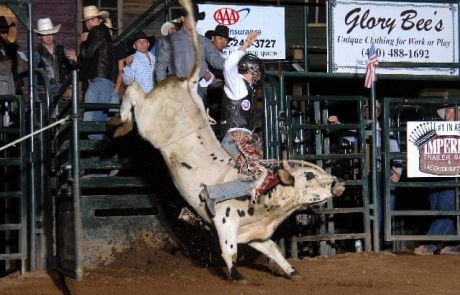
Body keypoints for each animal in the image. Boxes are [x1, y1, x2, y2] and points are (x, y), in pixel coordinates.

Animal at [108, 0, 344, 284]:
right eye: (309, 176)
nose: (338, 182)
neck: (269, 196)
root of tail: (187, 84)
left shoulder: (255, 234)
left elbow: (275, 251)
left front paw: (292, 272)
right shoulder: (226, 222)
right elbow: (229, 252)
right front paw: (237, 276)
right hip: (148, 119)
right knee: (133, 89)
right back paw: (120, 123)